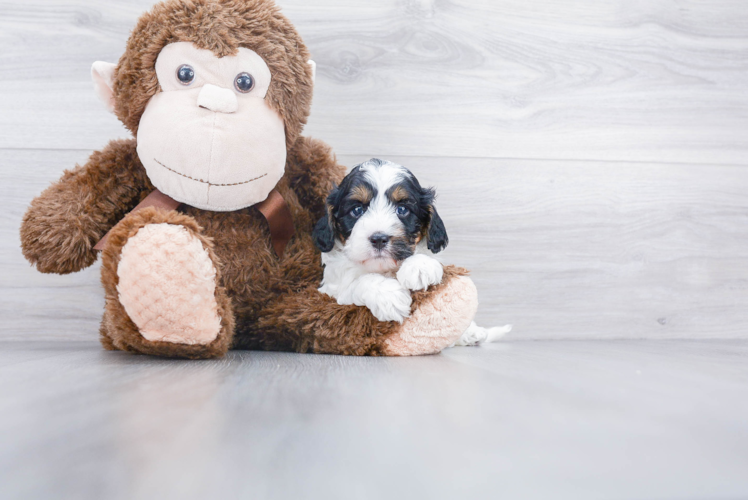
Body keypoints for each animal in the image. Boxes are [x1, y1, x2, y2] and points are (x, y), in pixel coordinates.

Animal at [312, 158, 512, 346]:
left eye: (402, 210)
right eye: (357, 210)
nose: (379, 238)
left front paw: (420, 267)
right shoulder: (329, 292)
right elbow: (356, 283)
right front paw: (389, 296)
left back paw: (471, 332)